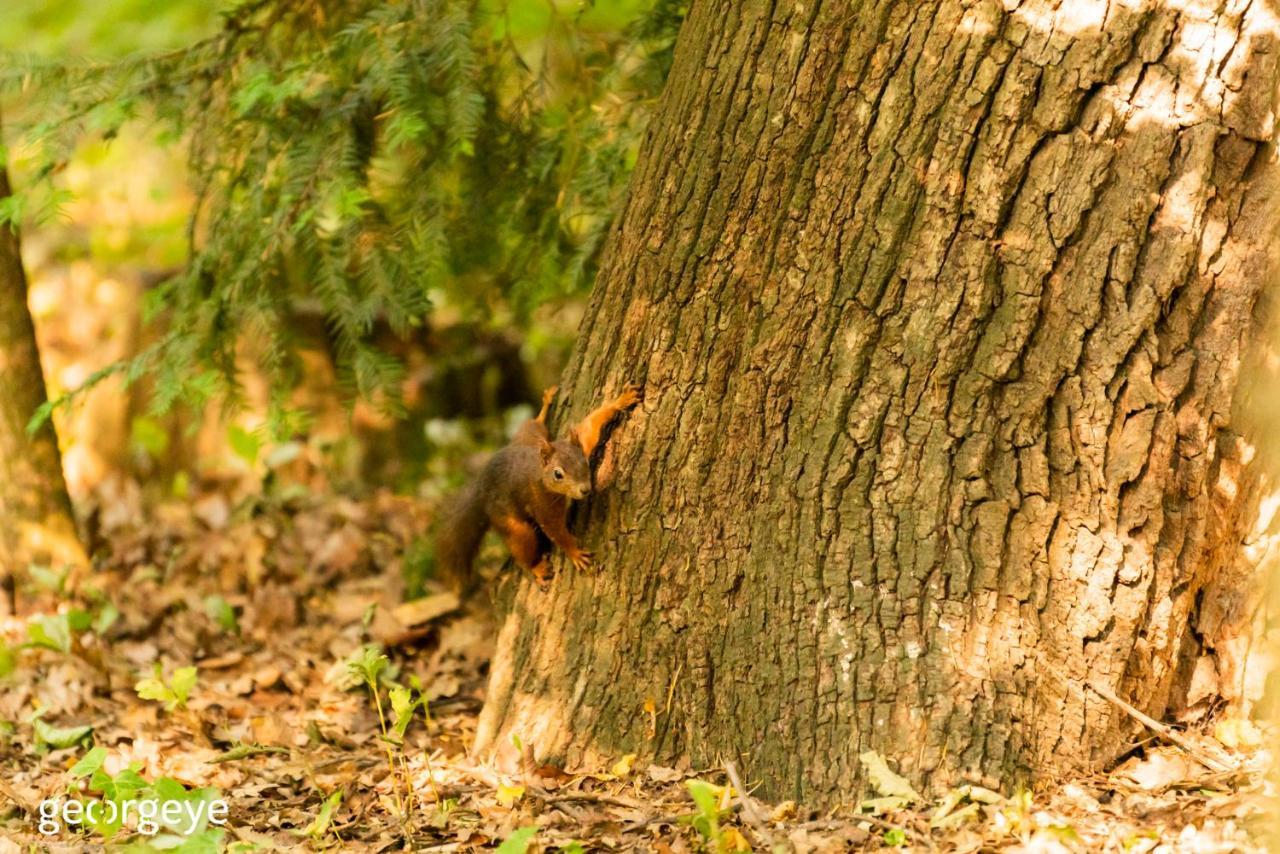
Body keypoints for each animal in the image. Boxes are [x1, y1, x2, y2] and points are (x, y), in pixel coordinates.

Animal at [437, 384, 640, 591]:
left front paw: (620, 401)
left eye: (584, 462)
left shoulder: (580, 443)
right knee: (522, 547)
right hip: (509, 522)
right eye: (558, 474)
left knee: (533, 424)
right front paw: (574, 553)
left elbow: (589, 426)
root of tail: (481, 490)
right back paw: (536, 568)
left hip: (528, 436)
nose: (585, 490)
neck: (542, 473)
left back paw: (545, 406)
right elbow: (555, 530)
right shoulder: (543, 502)